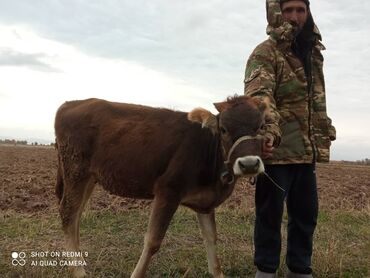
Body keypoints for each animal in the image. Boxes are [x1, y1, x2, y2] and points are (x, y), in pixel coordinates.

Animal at [55, 95, 268, 276]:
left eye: (261, 127)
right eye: (223, 129)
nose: (249, 164)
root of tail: (70, 103)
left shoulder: (205, 201)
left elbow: (211, 236)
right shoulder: (168, 191)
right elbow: (153, 241)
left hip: (89, 178)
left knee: (76, 216)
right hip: (75, 171)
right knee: (68, 213)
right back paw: (78, 271)